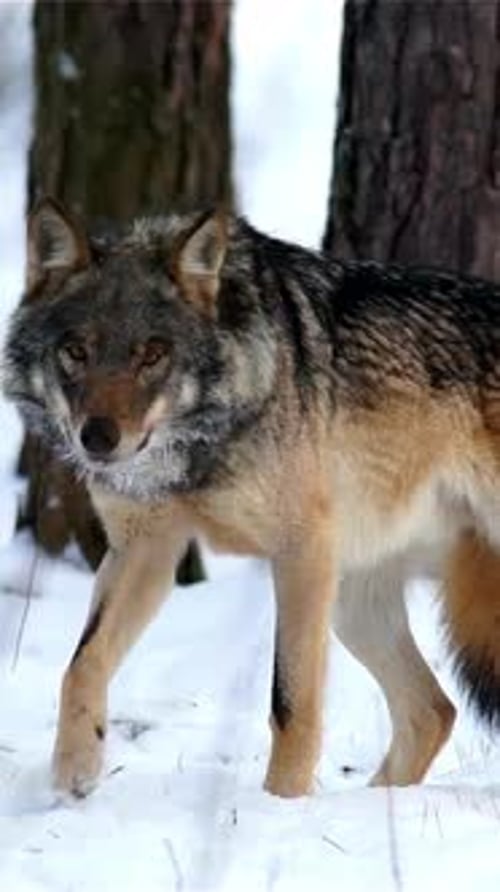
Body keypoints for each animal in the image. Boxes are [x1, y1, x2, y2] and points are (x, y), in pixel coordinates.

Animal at [4, 197, 500, 799]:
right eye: (75, 351)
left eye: (153, 355)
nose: (97, 439)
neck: (197, 447)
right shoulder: (145, 551)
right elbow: (81, 665)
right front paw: (74, 772)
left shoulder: (302, 553)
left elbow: (292, 705)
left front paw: (282, 804)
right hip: (355, 606)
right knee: (434, 711)